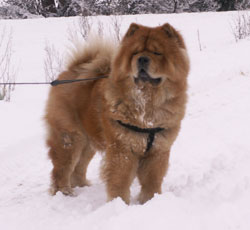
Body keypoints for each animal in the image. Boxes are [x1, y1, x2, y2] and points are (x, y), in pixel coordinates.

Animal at [45, 22, 189, 204]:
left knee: (79, 167)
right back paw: (65, 193)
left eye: (157, 53)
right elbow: (120, 181)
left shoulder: (158, 151)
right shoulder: (122, 150)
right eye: (135, 52)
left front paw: (149, 201)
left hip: (88, 141)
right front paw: (119, 203)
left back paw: (83, 186)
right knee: (62, 169)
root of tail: (71, 71)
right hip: (71, 138)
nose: (142, 59)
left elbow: (152, 180)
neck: (147, 105)